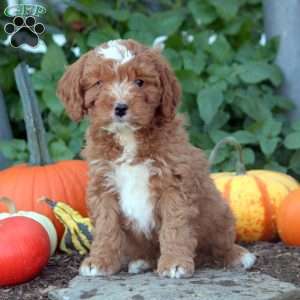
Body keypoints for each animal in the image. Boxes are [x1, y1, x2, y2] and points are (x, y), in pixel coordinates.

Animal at [56, 38, 255, 278]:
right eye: (98, 83)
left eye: (140, 82)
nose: (120, 107)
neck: (128, 136)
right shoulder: (103, 185)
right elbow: (106, 227)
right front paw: (100, 261)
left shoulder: (175, 183)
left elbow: (175, 227)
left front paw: (174, 263)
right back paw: (142, 261)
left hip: (220, 213)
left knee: (221, 243)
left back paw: (238, 255)